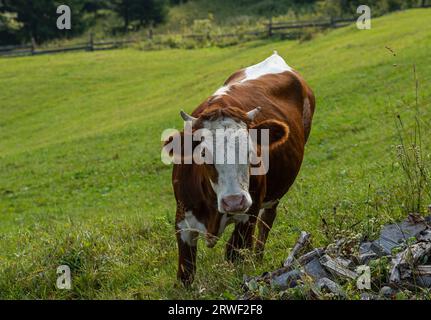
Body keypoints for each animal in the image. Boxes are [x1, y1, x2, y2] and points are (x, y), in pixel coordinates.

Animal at [165, 51, 318, 284]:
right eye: (203, 154)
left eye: (251, 151)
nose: (234, 201)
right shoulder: (182, 221)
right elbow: (186, 274)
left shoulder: (249, 215)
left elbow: (234, 254)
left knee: (267, 220)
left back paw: (258, 257)